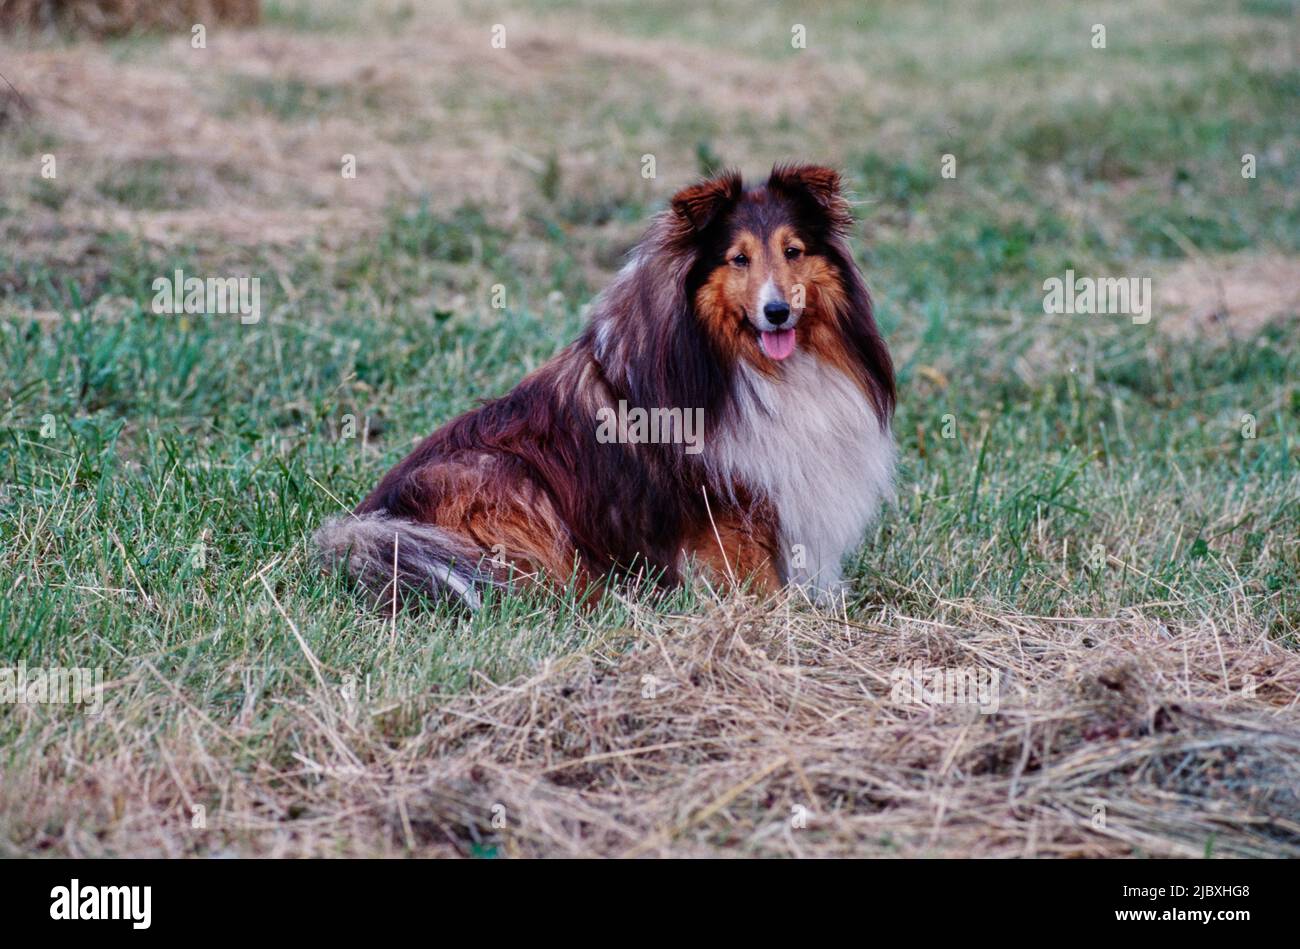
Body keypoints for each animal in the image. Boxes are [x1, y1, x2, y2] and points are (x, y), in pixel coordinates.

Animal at [319, 162, 899, 605]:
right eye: (739, 259)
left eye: (793, 251)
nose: (777, 312)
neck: (759, 366)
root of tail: (364, 522)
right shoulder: (725, 509)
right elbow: (753, 574)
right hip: (512, 486)